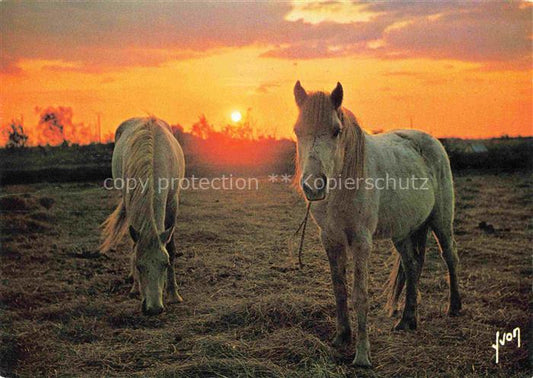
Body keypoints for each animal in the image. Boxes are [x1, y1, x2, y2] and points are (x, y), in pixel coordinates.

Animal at [101, 117, 186, 316]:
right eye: (140, 265)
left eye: (165, 264)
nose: (153, 309)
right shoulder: (131, 202)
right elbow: (134, 246)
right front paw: (135, 287)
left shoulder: (172, 203)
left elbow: (171, 247)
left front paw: (174, 294)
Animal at [294, 82, 460, 366]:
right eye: (297, 130)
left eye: (336, 131)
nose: (313, 186)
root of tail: (431, 142)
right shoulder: (330, 239)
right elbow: (339, 289)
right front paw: (342, 337)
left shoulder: (361, 242)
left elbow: (360, 294)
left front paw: (362, 355)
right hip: (403, 232)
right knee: (412, 265)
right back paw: (407, 320)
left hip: (441, 222)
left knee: (449, 256)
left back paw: (455, 307)